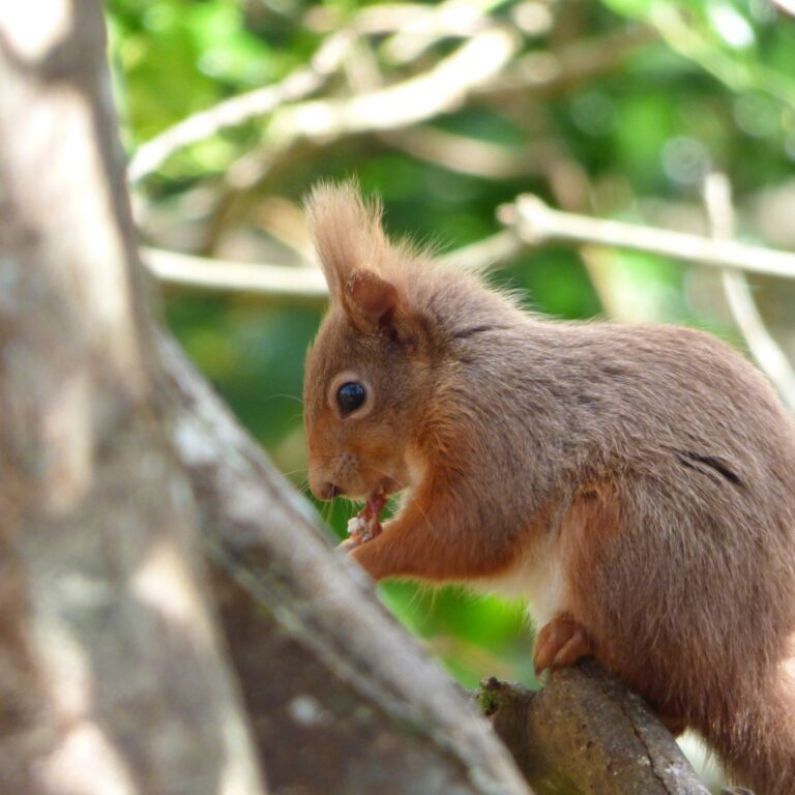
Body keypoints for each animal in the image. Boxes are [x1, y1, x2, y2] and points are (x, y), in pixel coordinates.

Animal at [302, 182, 795, 795]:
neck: (453, 371)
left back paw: (575, 638)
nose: (321, 487)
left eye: (351, 395)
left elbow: (470, 530)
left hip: (632, 532)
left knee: (675, 685)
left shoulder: (500, 435)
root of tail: (747, 668)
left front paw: (362, 559)